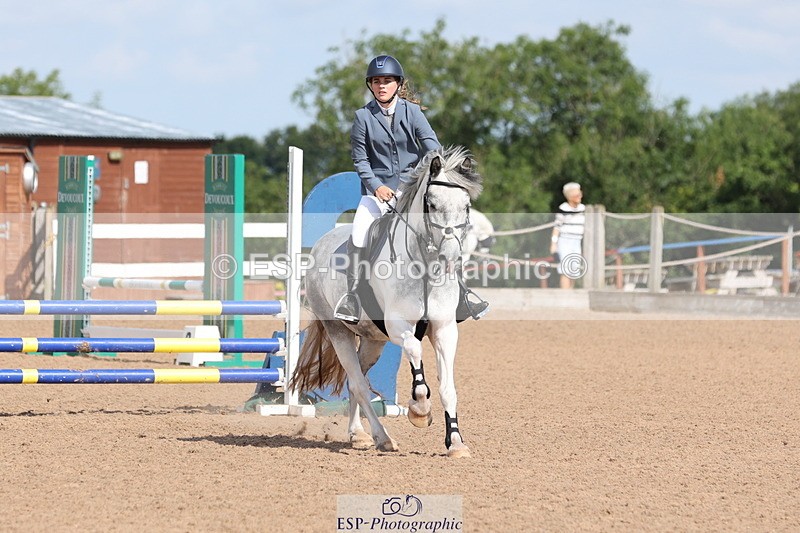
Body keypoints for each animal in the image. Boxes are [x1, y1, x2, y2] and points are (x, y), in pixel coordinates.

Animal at [290, 146, 482, 458]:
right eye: (431, 204)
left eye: (466, 205)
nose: (450, 258)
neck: (424, 266)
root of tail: (321, 243)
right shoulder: (397, 326)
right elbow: (415, 352)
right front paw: (420, 410)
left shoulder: (444, 329)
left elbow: (448, 388)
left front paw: (455, 443)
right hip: (339, 332)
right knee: (357, 383)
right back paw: (382, 437)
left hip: (372, 341)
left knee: (354, 381)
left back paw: (358, 435)